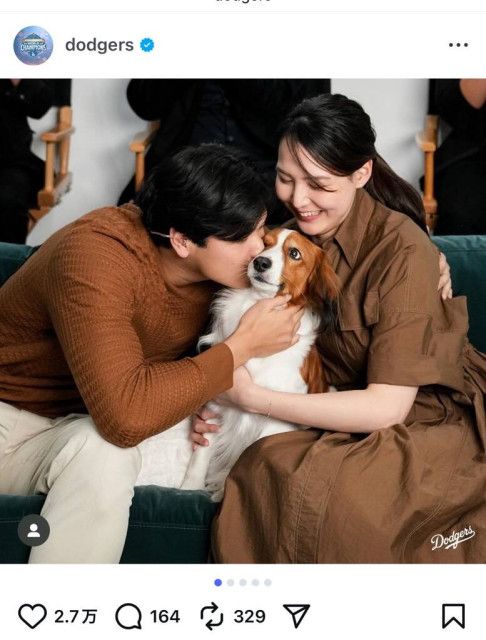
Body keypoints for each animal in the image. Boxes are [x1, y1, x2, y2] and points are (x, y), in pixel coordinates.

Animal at [136, 227, 339, 501]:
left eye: (294, 253)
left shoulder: (275, 422)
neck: (254, 303)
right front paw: (190, 489)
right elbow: (200, 458)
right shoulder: (216, 405)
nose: (260, 262)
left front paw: (223, 489)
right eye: (264, 244)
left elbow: (245, 457)